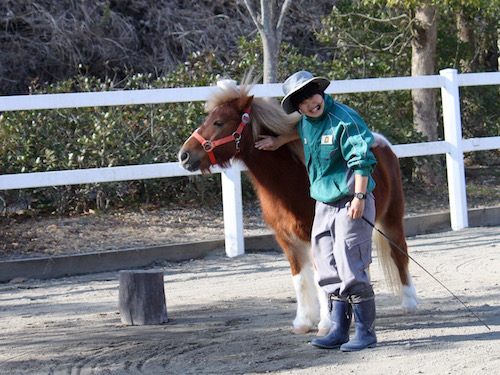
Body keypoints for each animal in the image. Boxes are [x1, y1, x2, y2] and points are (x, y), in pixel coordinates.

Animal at [177, 78, 418, 336]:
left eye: (219, 122)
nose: (184, 155)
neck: (290, 181)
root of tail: (382, 142)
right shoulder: (286, 239)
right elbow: (300, 279)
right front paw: (303, 322)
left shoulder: (315, 236)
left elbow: (322, 279)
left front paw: (325, 325)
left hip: (392, 217)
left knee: (399, 254)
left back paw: (409, 303)